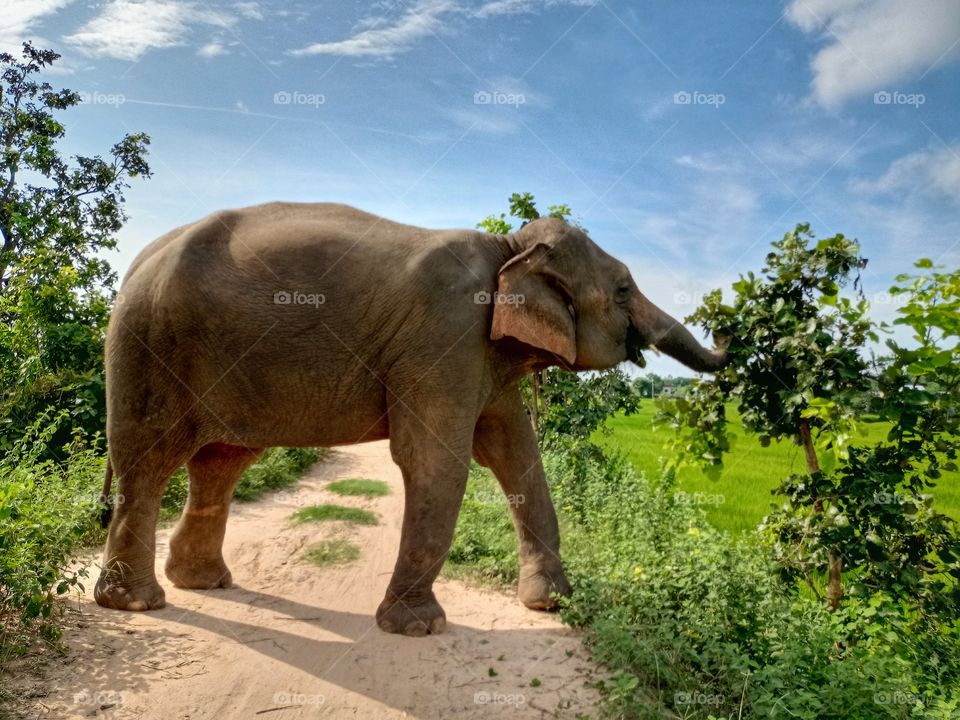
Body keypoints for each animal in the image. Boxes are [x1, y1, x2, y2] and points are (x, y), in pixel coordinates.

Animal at [95, 202, 728, 636]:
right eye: (622, 290)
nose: (725, 328)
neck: (508, 248)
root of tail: (137, 261)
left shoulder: (483, 351)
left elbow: (516, 453)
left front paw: (552, 603)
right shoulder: (446, 334)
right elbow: (437, 460)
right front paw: (418, 628)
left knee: (221, 462)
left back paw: (201, 583)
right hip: (149, 349)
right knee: (149, 464)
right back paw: (137, 604)